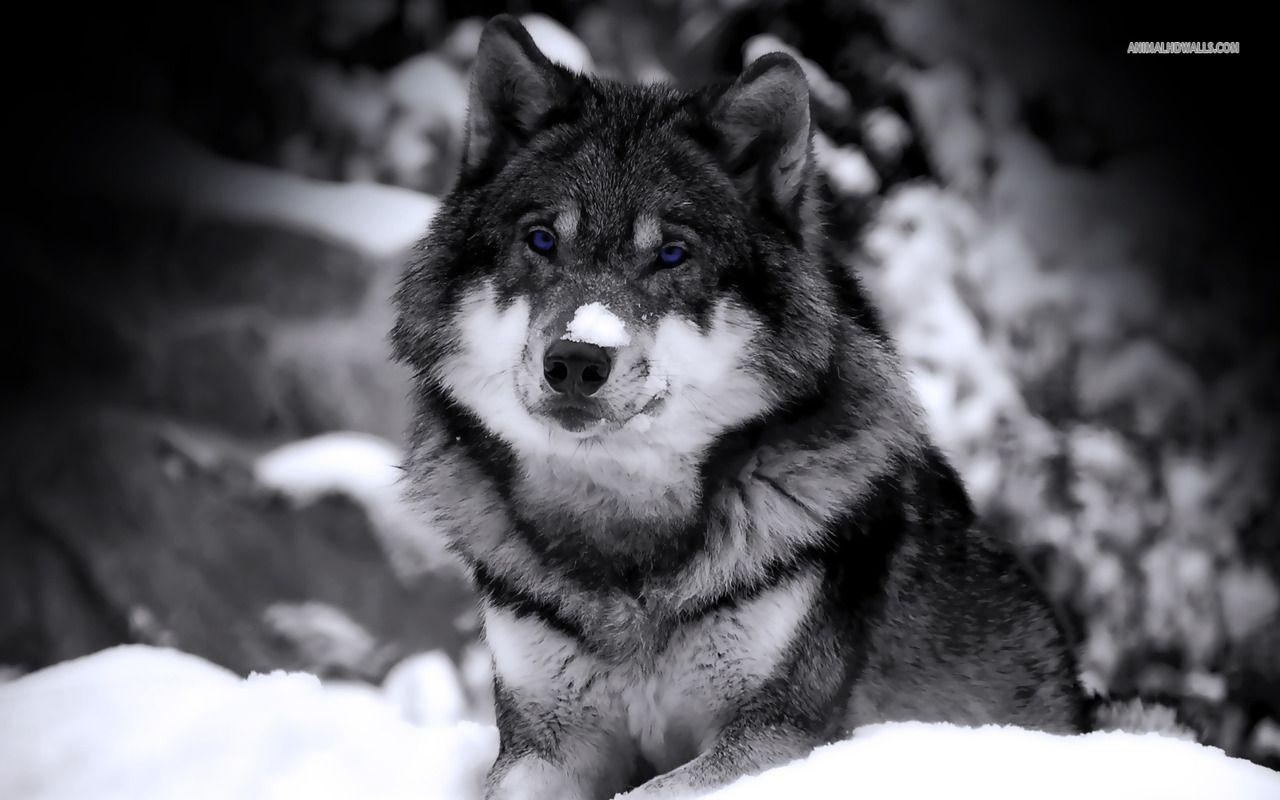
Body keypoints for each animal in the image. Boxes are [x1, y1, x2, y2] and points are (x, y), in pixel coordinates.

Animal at [391, 15, 1087, 799]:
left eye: (671, 254)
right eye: (541, 240)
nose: (576, 360)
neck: (625, 545)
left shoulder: (775, 735)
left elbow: (650, 792)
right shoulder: (543, 743)